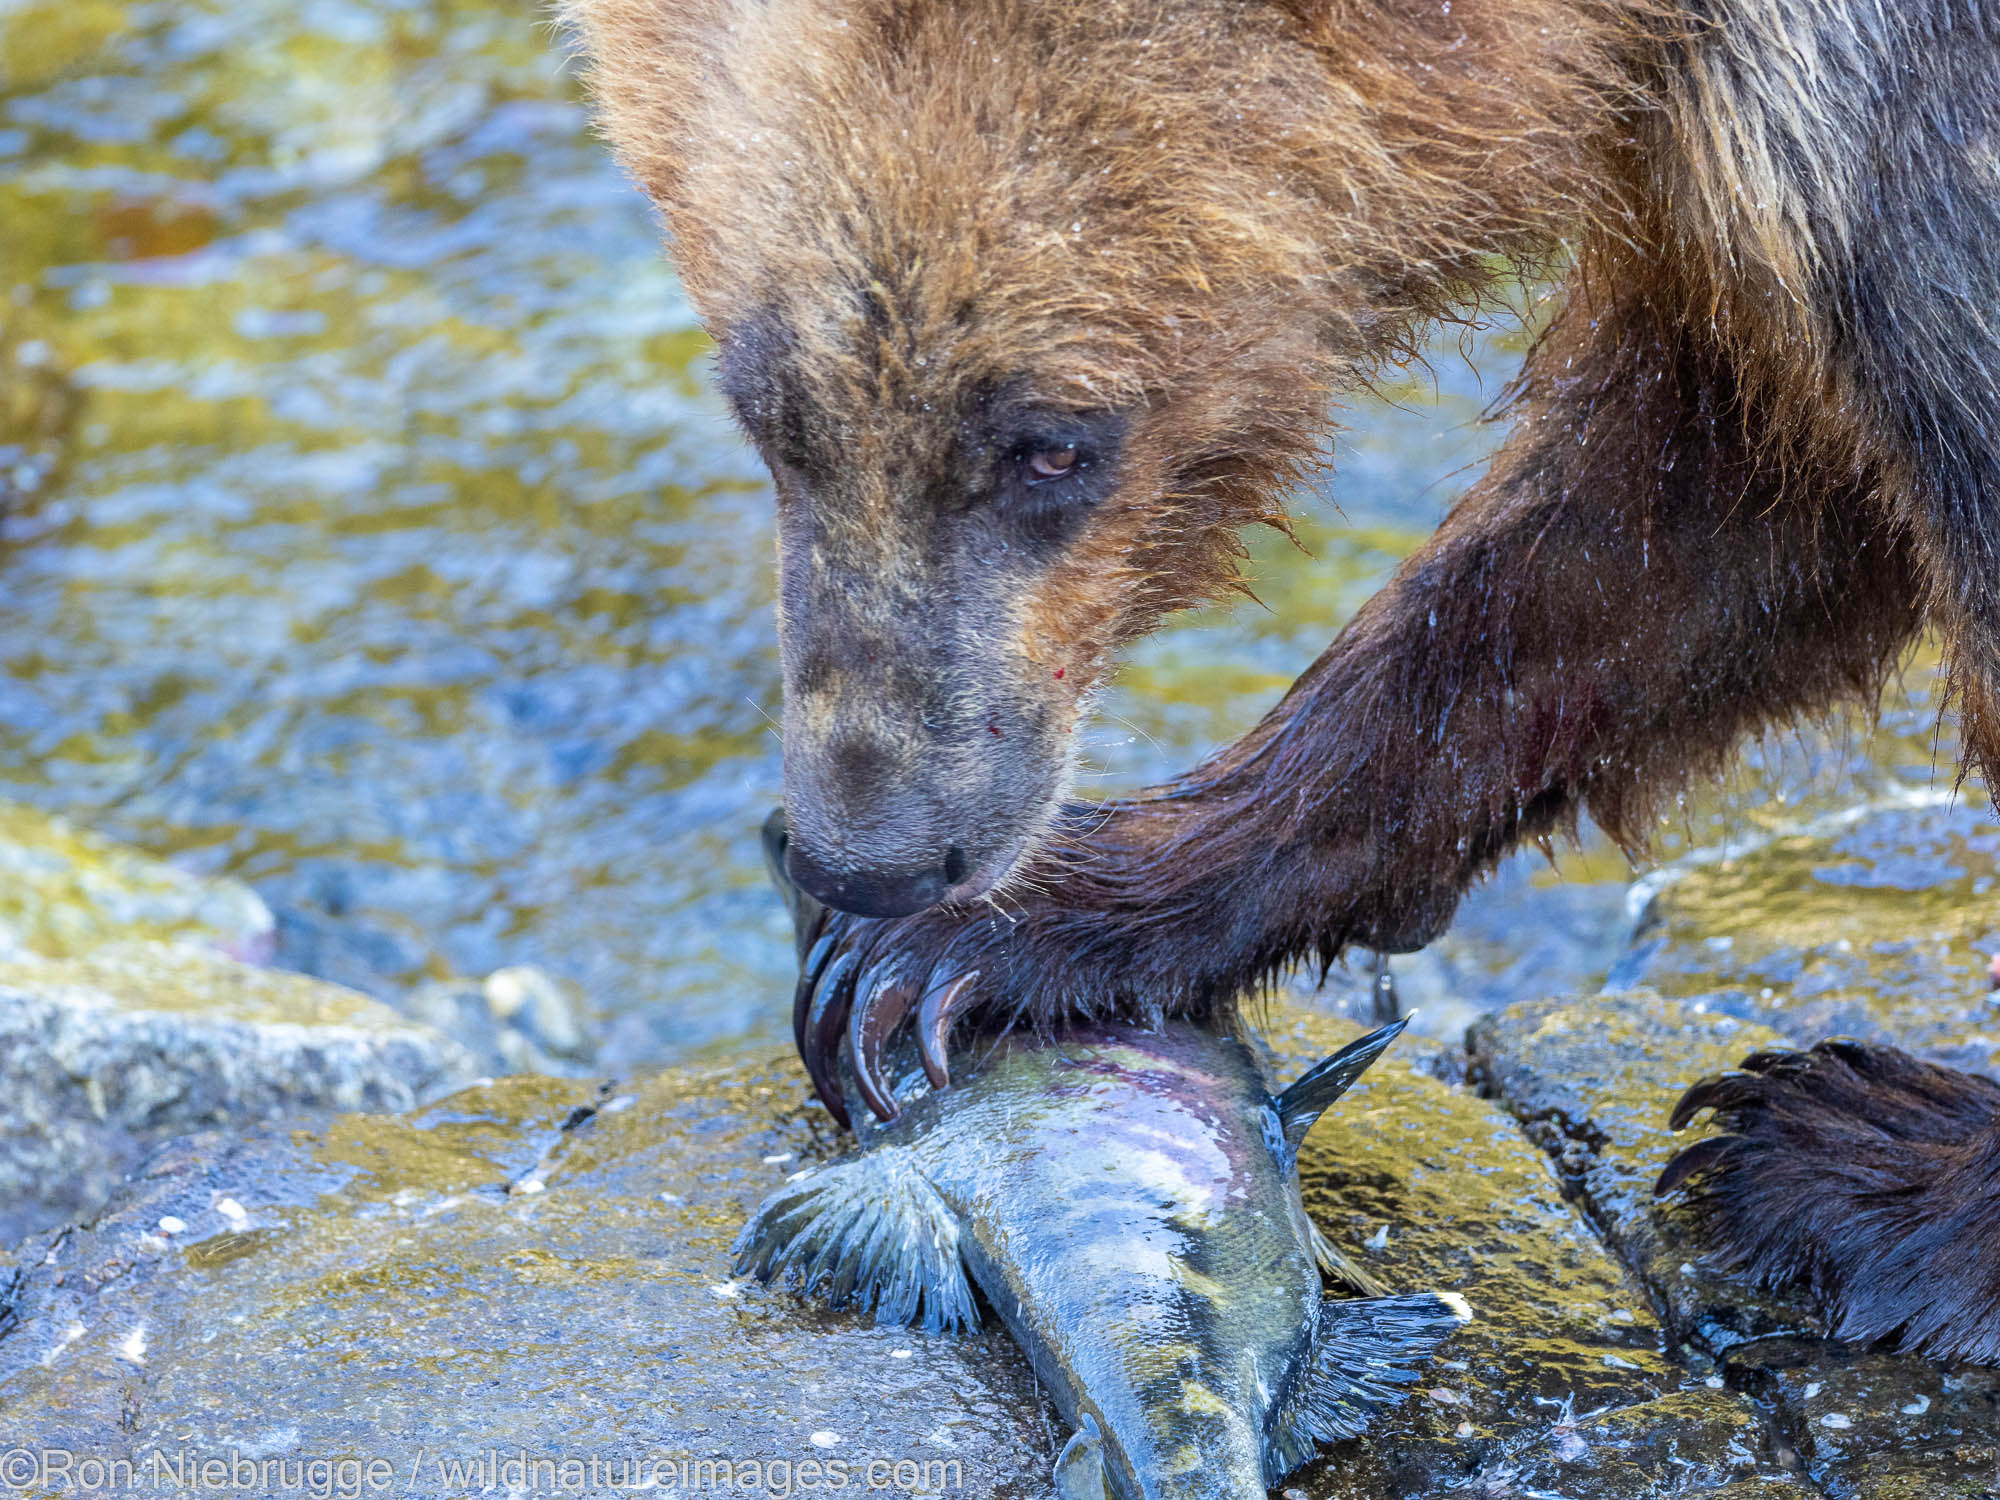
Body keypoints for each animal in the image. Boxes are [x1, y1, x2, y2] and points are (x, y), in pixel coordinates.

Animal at [556, 0, 2000, 1360]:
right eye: (766, 412)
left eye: (1048, 444)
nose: (868, 856)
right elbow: (1684, 521)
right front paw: (1000, 935)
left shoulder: (1879, 132)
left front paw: (1852, 1166)